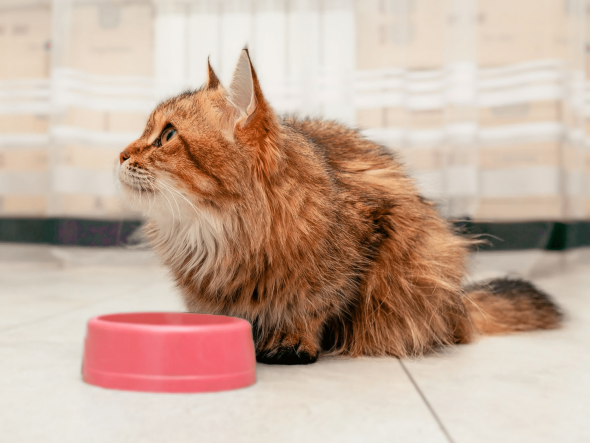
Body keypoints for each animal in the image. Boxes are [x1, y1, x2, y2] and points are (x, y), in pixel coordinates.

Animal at [118, 50, 568, 366]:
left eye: (167, 135)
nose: (120, 154)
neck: (215, 230)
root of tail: (461, 305)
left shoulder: (367, 235)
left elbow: (316, 303)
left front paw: (293, 340)